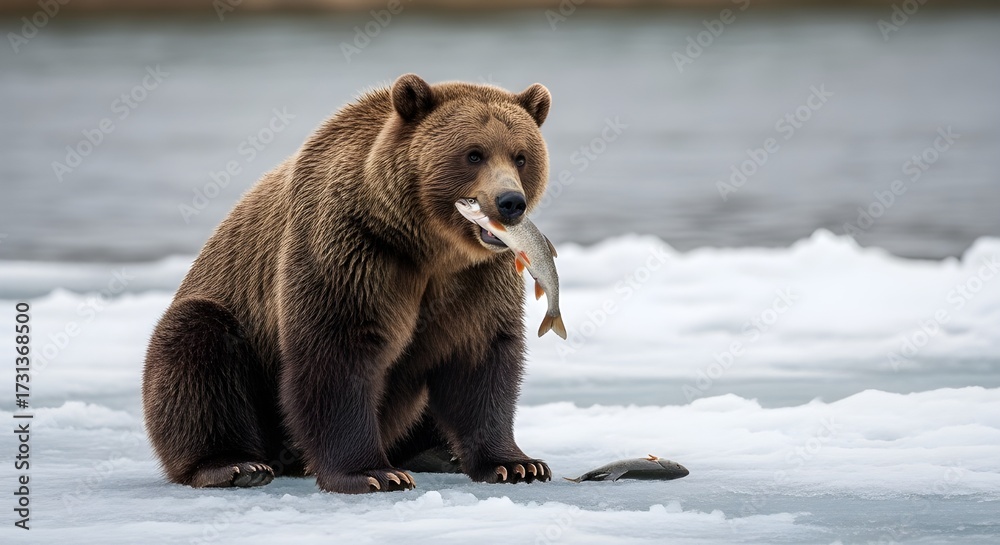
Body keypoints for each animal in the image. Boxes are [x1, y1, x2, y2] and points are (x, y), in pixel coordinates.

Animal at [141, 74, 554, 494]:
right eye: (474, 154)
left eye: (521, 156)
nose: (510, 202)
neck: (427, 246)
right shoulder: (351, 249)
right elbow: (339, 351)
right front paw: (372, 472)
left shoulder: (477, 277)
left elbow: (479, 356)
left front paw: (518, 464)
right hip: (228, 319)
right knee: (196, 346)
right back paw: (235, 465)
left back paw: (437, 453)